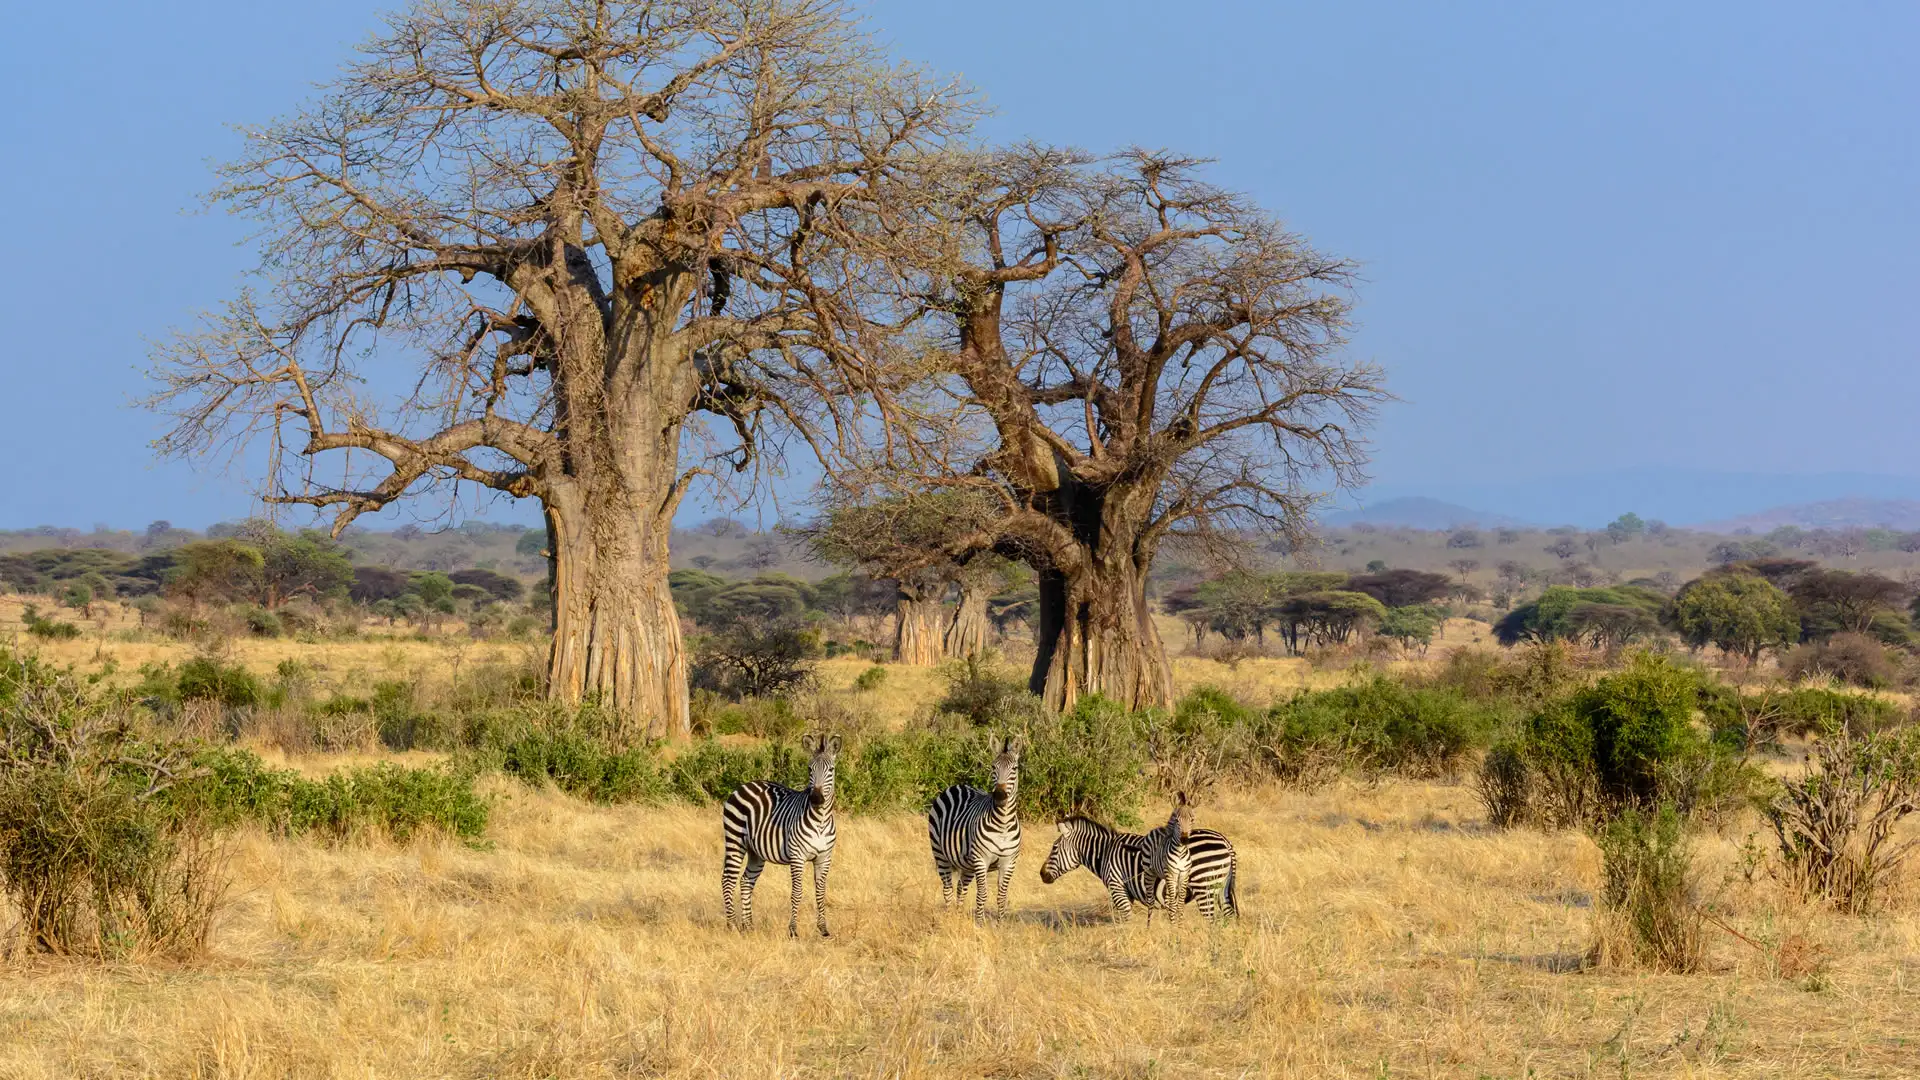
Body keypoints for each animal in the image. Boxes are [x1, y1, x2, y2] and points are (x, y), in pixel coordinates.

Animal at [721, 732, 841, 937]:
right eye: (809, 769)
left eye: (831, 770)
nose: (816, 799)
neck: (821, 820)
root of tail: (744, 785)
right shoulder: (798, 856)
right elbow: (797, 892)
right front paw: (793, 930)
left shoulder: (824, 857)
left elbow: (821, 892)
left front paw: (823, 929)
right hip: (735, 840)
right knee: (728, 880)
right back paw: (732, 926)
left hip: (755, 852)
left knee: (746, 881)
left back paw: (748, 926)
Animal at [927, 735, 1022, 922]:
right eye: (993, 767)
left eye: (1014, 768)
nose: (999, 796)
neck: (1003, 824)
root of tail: (958, 785)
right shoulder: (981, 860)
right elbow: (982, 894)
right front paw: (979, 923)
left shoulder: (1009, 862)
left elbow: (1002, 896)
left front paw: (1000, 924)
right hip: (940, 855)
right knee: (948, 889)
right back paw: (948, 919)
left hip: (967, 864)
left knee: (960, 888)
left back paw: (958, 916)